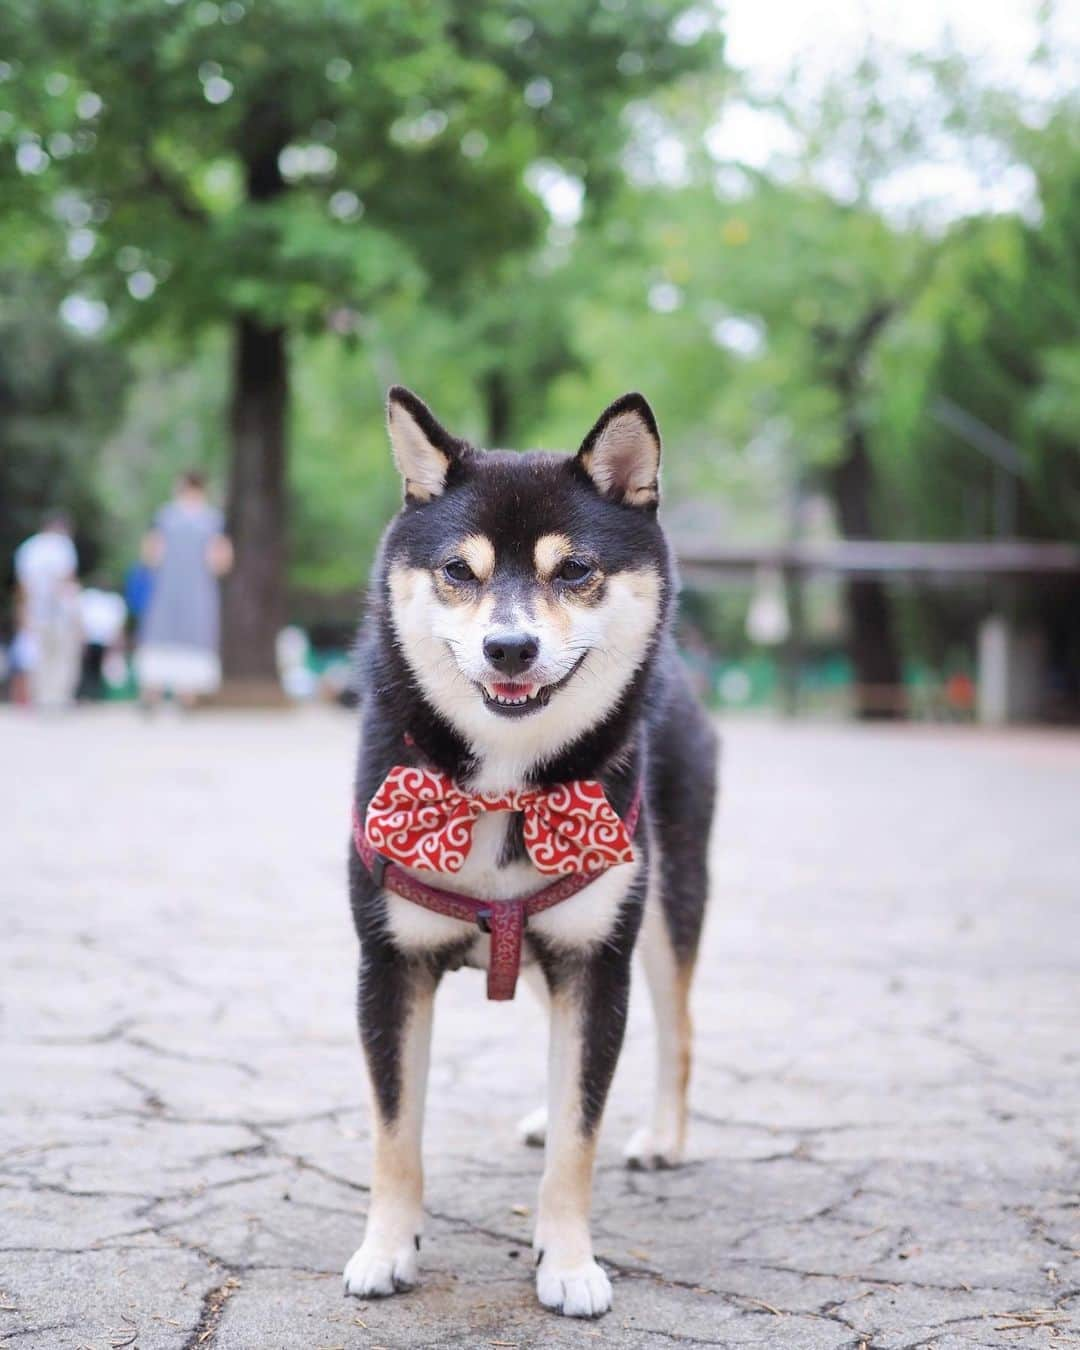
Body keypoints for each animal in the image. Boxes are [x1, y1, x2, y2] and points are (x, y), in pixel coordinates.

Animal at [345, 388, 718, 1317]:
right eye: (459, 570)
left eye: (575, 570)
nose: (508, 648)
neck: (506, 790)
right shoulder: (389, 962)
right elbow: (395, 1132)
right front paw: (386, 1249)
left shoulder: (596, 956)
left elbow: (579, 1143)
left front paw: (569, 1261)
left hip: (666, 905)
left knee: (676, 1031)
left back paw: (662, 1136)